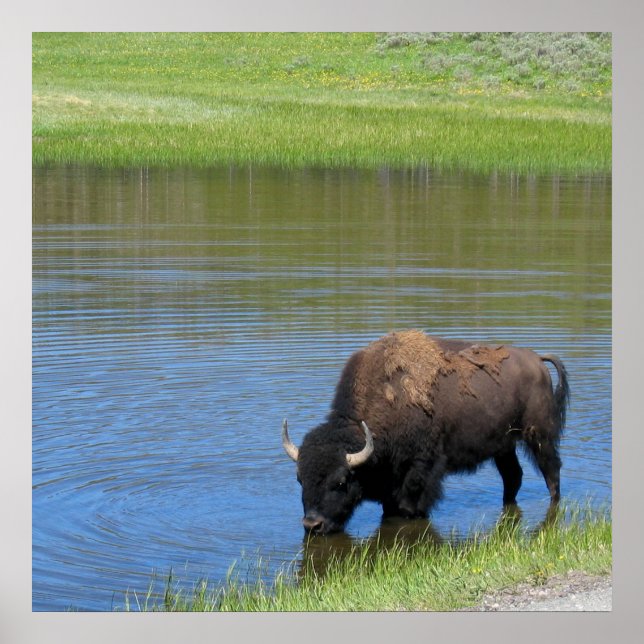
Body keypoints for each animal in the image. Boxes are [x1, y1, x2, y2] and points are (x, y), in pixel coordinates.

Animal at [282, 330, 569, 535]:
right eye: (299, 479)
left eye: (341, 481)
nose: (312, 525)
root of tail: (537, 360)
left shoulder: (420, 469)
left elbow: (410, 505)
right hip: (504, 447)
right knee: (513, 477)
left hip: (539, 436)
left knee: (551, 472)